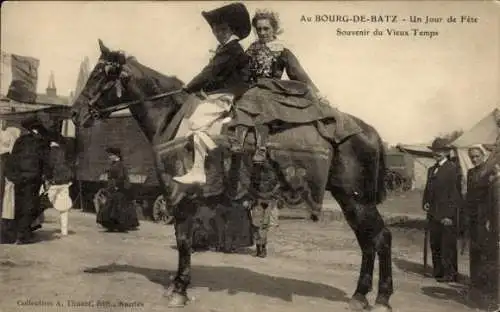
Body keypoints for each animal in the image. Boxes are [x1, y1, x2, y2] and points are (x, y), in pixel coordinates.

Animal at [71, 39, 394, 312]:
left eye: (99, 74)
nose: (75, 113)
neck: (173, 117)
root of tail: (369, 131)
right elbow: (186, 237)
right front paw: (178, 285)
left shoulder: (179, 196)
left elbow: (183, 239)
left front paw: (179, 289)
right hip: (350, 199)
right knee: (368, 240)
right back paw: (360, 296)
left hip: (356, 199)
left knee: (381, 237)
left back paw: (382, 299)